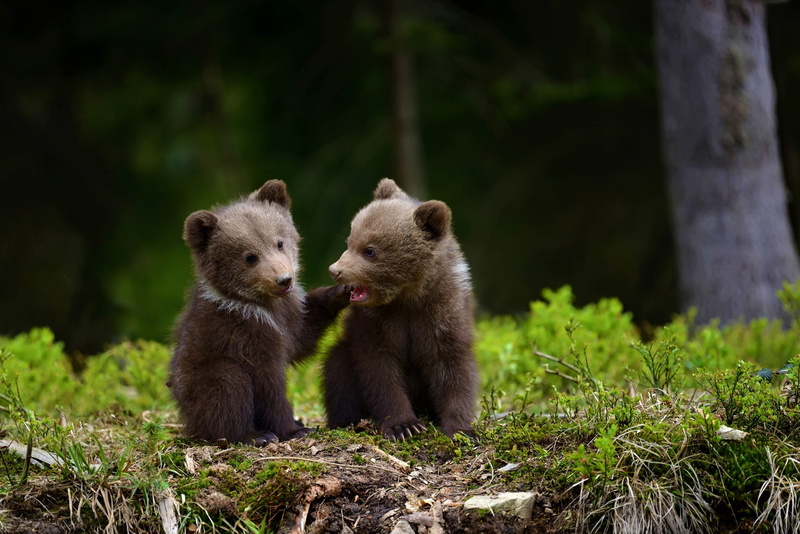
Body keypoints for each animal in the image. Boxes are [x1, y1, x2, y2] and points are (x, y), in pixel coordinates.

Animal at [169, 180, 350, 445]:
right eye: (250, 257)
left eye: (279, 242)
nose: (284, 280)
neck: (262, 305)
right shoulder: (245, 333)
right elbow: (267, 383)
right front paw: (294, 429)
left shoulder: (289, 316)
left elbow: (302, 338)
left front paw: (340, 291)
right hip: (201, 377)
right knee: (228, 387)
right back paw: (254, 434)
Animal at [324, 178, 478, 441]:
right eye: (349, 241)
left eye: (370, 250)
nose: (336, 270)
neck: (407, 296)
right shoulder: (376, 323)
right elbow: (380, 371)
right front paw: (403, 425)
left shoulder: (443, 313)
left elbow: (453, 367)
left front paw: (462, 429)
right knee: (337, 370)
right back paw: (349, 421)